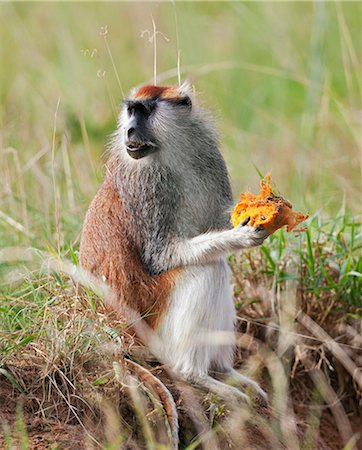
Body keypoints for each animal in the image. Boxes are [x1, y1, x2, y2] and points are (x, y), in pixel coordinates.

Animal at [81, 82, 268, 402]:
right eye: (131, 110)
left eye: (144, 111)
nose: (129, 130)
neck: (170, 151)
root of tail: (118, 333)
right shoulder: (146, 183)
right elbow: (160, 256)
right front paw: (241, 235)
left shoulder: (207, 155)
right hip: (151, 325)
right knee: (208, 270)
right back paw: (195, 375)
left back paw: (224, 372)